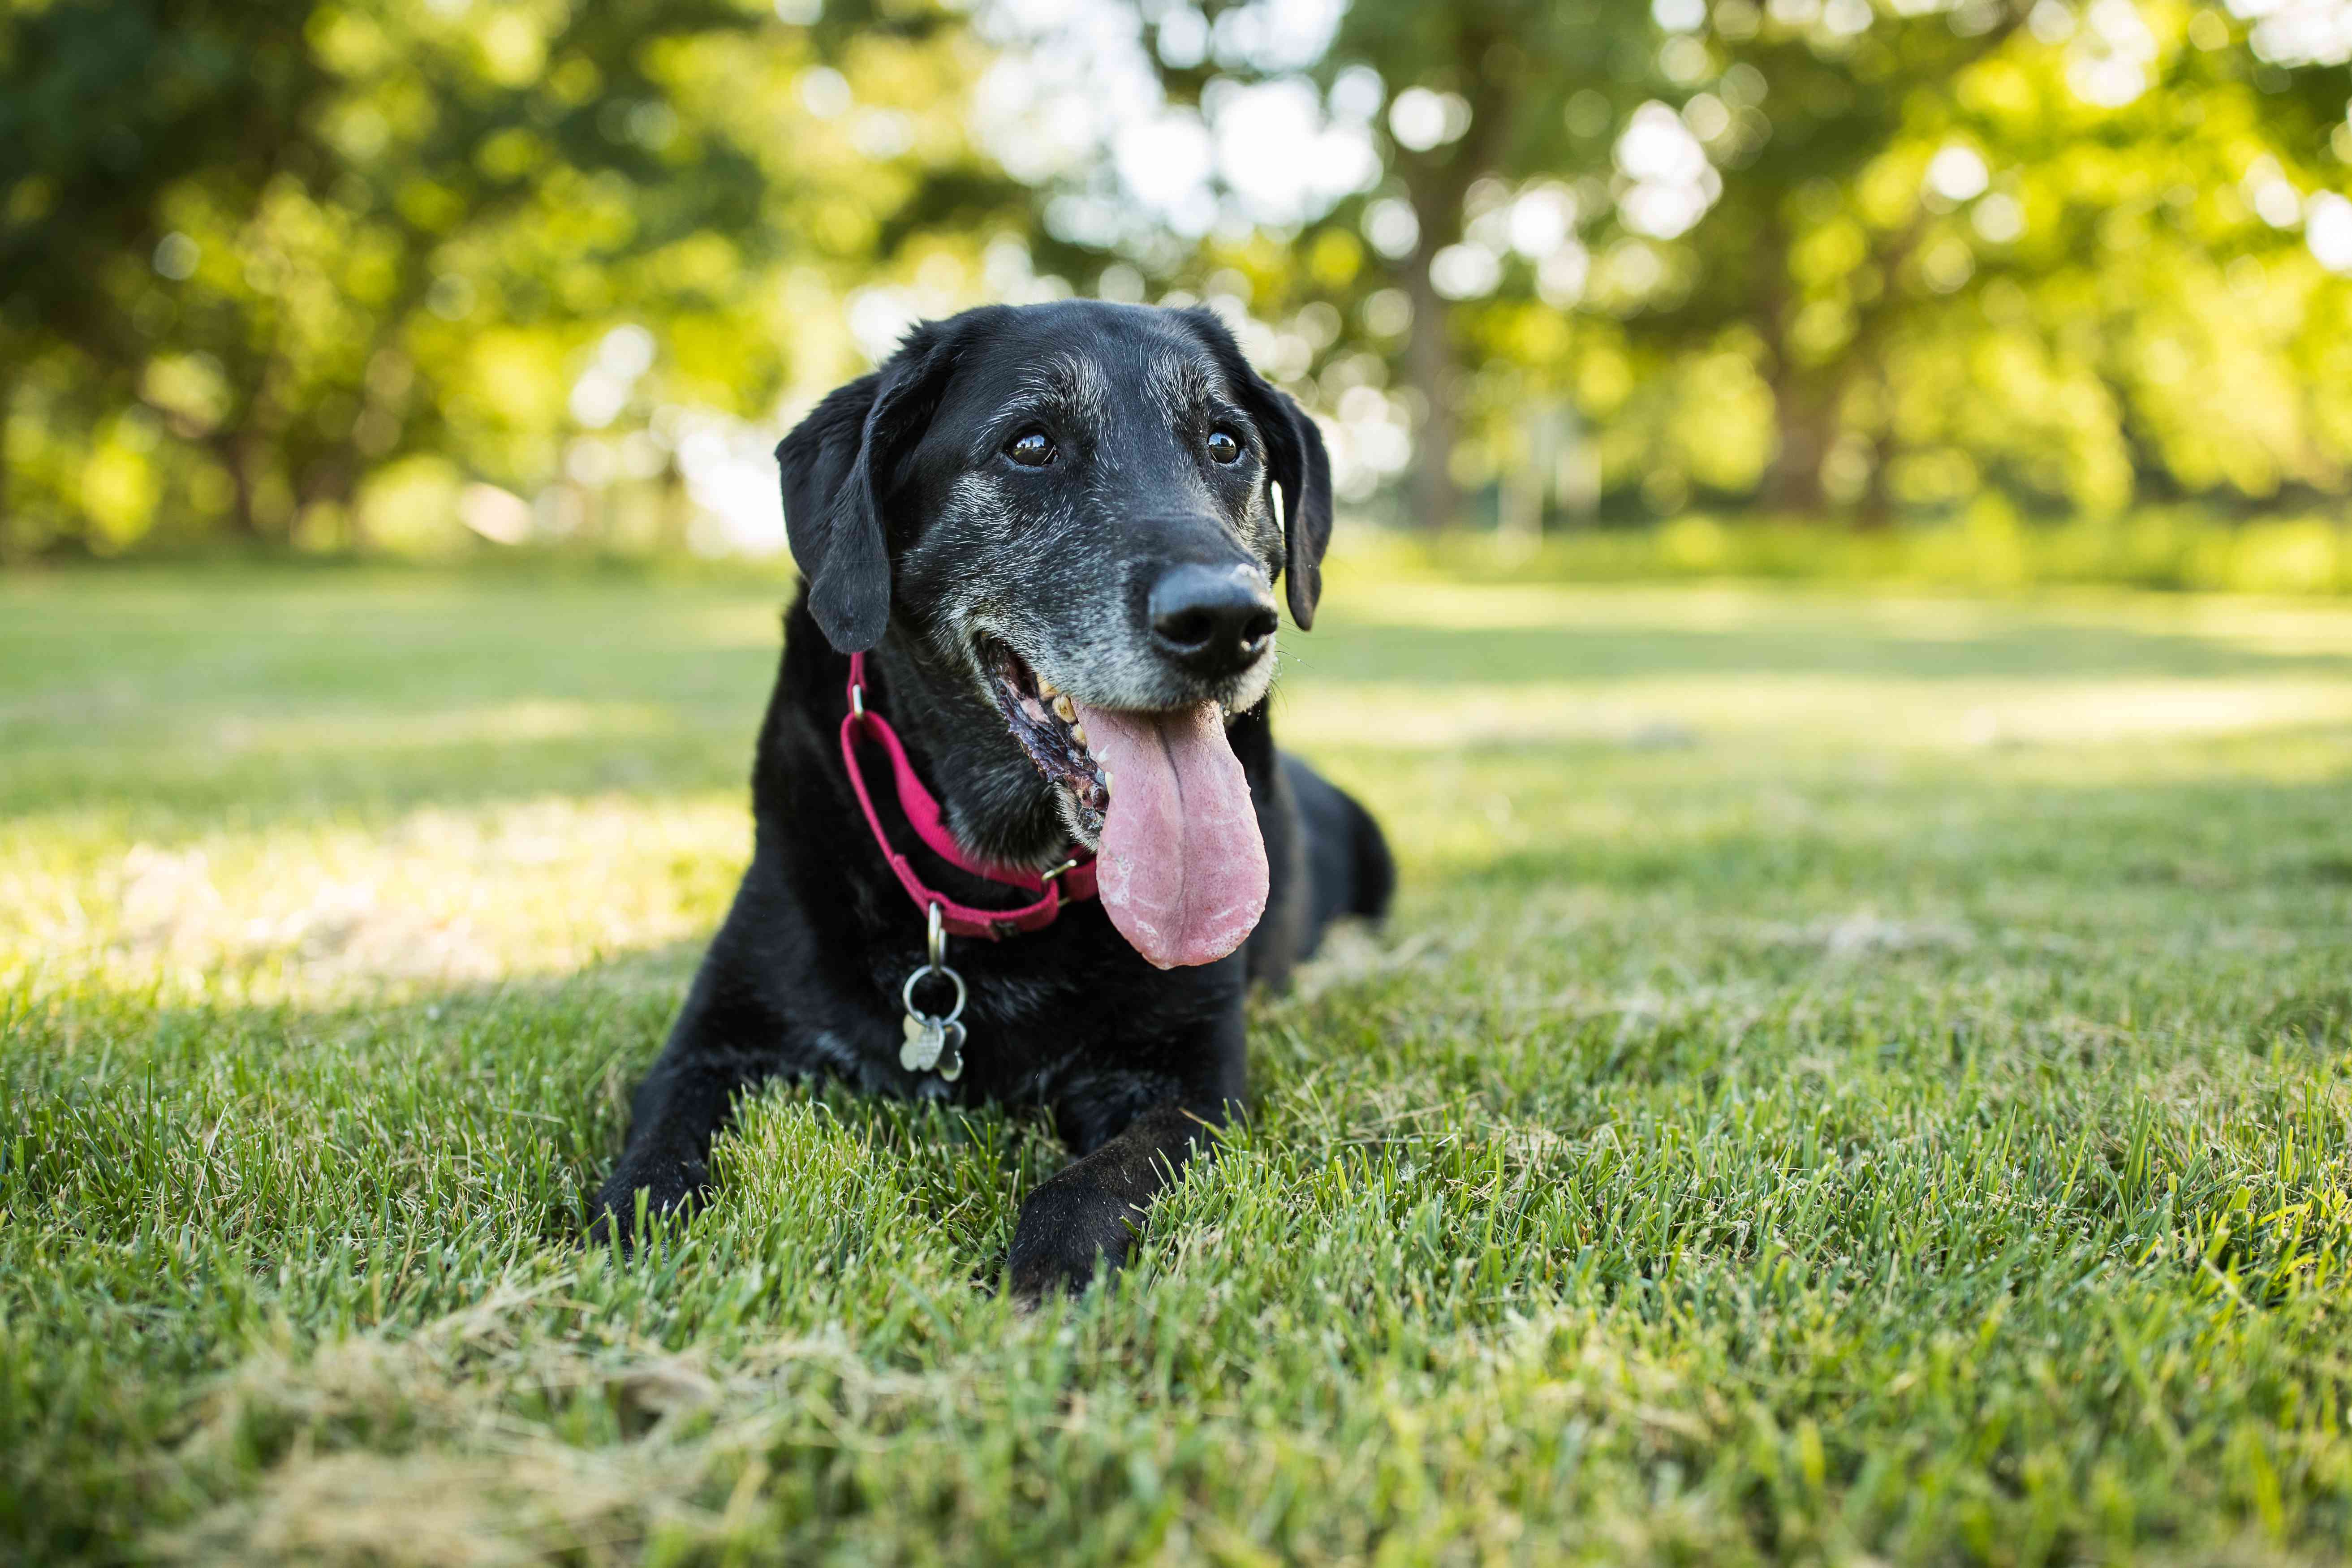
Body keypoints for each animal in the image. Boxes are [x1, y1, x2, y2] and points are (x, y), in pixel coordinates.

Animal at [597, 301, 1383, 1297]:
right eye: (1031, 444)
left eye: (1225, 443)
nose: (1226, 623)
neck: (997, 883)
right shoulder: (713, 1037)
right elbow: (656, 1153)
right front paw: (636, 1232)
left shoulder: (1198, 1082)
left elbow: (1090, 1184)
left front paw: (1046, 1277)